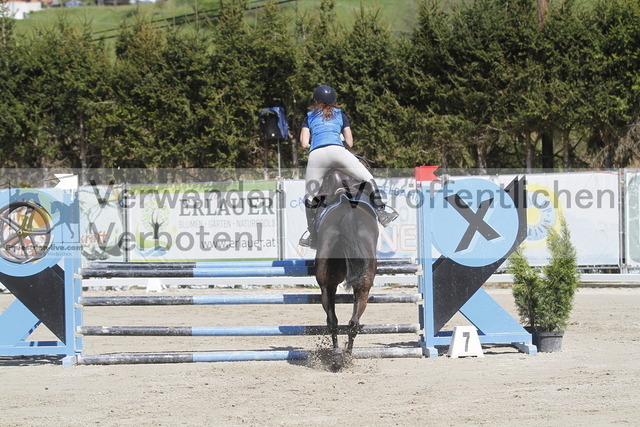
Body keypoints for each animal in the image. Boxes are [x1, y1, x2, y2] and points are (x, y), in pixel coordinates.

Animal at [313, 170, 380, 369]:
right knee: (351, 321)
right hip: (362, 286)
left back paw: (338, 357)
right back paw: (346, 355)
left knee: (336, 321)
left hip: (328, 285)